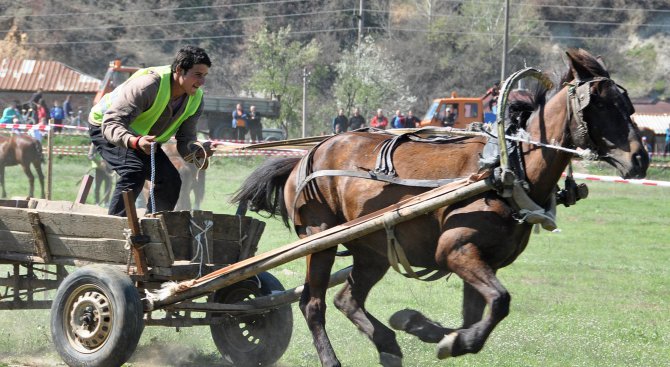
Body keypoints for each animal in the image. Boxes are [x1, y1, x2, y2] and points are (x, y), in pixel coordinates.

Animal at [235, 49, 652, 367]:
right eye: (602, 104)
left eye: (628, 104)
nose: (641, 158)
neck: (505, 169)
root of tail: (308, 155)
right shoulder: (456, 250)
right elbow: (500, 302)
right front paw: (444, 336)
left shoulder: (481, 259)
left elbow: (479, 313)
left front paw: (422, 326)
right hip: (319, 238)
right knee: (313, 303)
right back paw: (333, 357)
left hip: (373, 250)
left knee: (346, 299)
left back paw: (388, 344)